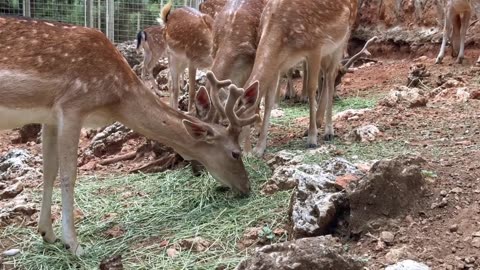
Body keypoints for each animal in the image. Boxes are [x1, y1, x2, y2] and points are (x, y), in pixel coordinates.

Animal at [0, 15, 258, 256]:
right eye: (235, 153)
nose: (247, 187)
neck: (116, 99)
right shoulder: (72, 107)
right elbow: (68, 176)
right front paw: (73, 244)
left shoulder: (50, 117)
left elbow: (49, 171)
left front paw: (47, 234)